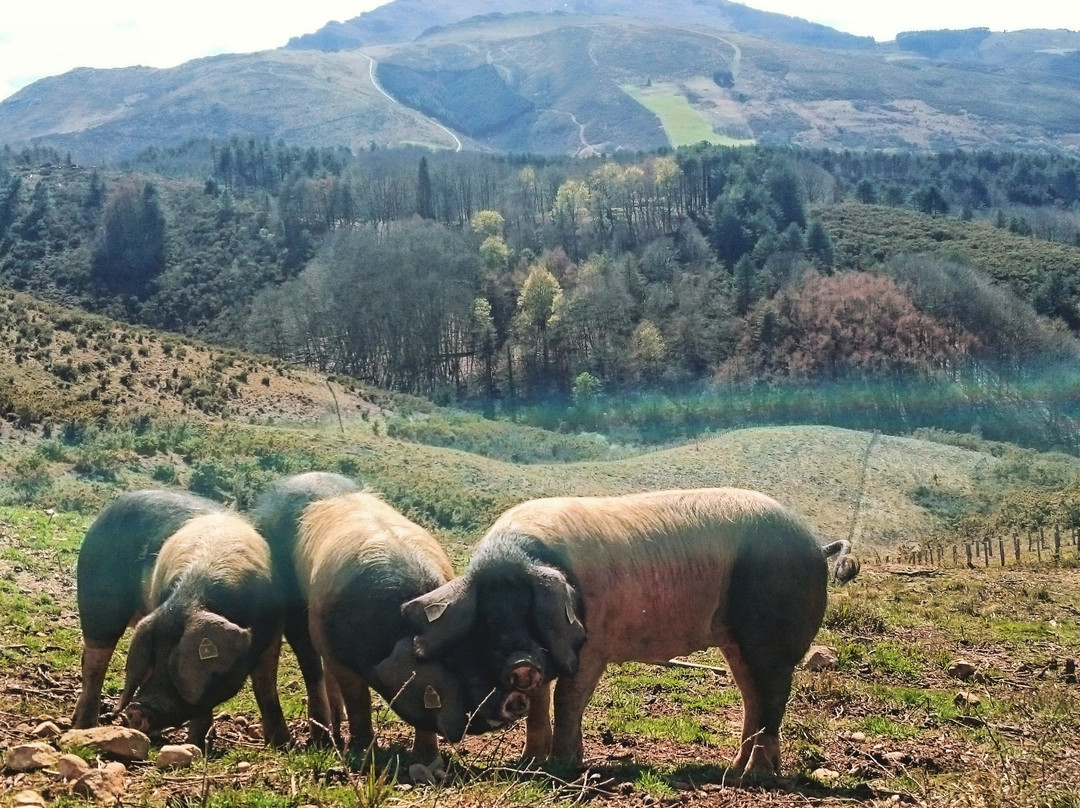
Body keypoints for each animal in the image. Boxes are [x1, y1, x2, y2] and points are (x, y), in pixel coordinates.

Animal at [71, 488, 291, 747]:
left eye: (176, 663)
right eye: (154, 656)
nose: (137, 710)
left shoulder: (273, 632)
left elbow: (266, 687)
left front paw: (283, 745)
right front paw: (194, 746)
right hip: (96, 602)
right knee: (94, 664)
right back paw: (83, 727)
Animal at [403, 486, 859, 777]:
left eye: (529, 612)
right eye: (488, 623)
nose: (521, 663)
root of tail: (815, 547)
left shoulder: (592, 646)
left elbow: (568, 699)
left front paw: (563, 767)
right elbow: (539, 706)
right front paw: (530, 764)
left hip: (772, 638)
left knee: (773, 701)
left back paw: (756, 777)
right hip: (736, 642)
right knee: (754, 701)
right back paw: (734, 771)